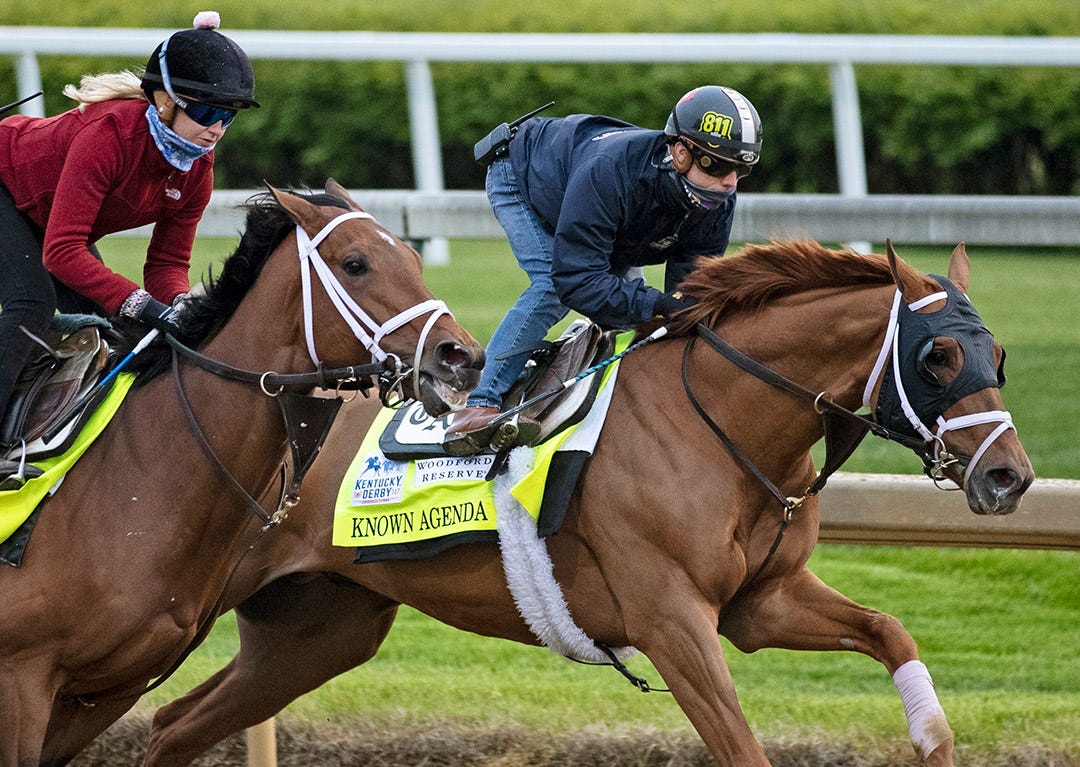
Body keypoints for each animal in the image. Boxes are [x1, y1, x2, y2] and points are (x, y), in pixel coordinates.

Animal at [0, 179, 485, 767]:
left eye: (414, 259)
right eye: (355, 263)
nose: (462, 356)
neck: (138, 475)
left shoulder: (106, 691)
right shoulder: (21, 677)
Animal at [142, 240, 1033, 767]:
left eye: (995, 352)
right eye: (938, 354)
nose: (1010, 477)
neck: (717, 421)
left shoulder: (761, 602)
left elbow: (889, 630)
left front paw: (931, 736)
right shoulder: (671, 619)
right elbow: (741, 745)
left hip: (318, 628)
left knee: (173, 722)